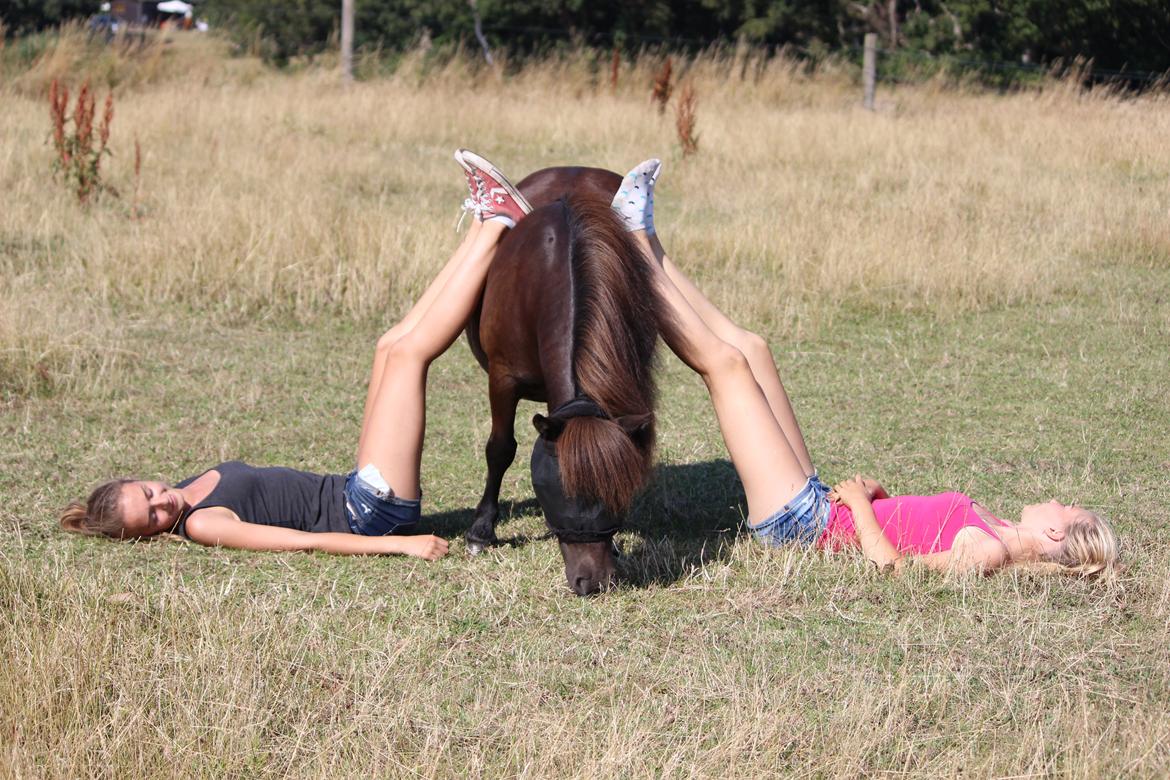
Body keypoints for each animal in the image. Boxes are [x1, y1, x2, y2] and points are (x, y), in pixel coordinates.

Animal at [465, 168, 669, 594]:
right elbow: (500, 449)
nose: (592, 581)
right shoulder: (503, 377)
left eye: (616, 493)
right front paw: (481, 531)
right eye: (561, 493)